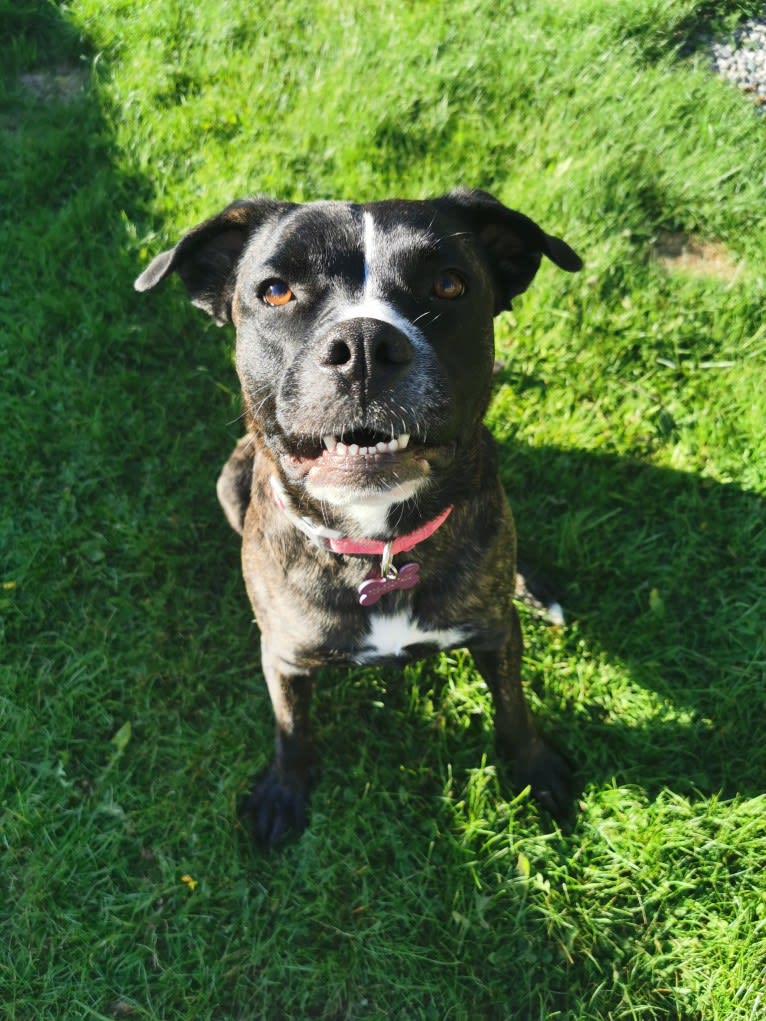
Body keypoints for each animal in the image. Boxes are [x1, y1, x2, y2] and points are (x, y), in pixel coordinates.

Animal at [136, 187, 580, 841]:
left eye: (449, 285)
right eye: (275, 291)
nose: (366, 346)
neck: (379, 545)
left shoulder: (497, 635)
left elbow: (513, 705)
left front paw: (535, 766)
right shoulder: (284, 657)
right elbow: (291, 728)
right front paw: (284, 792)